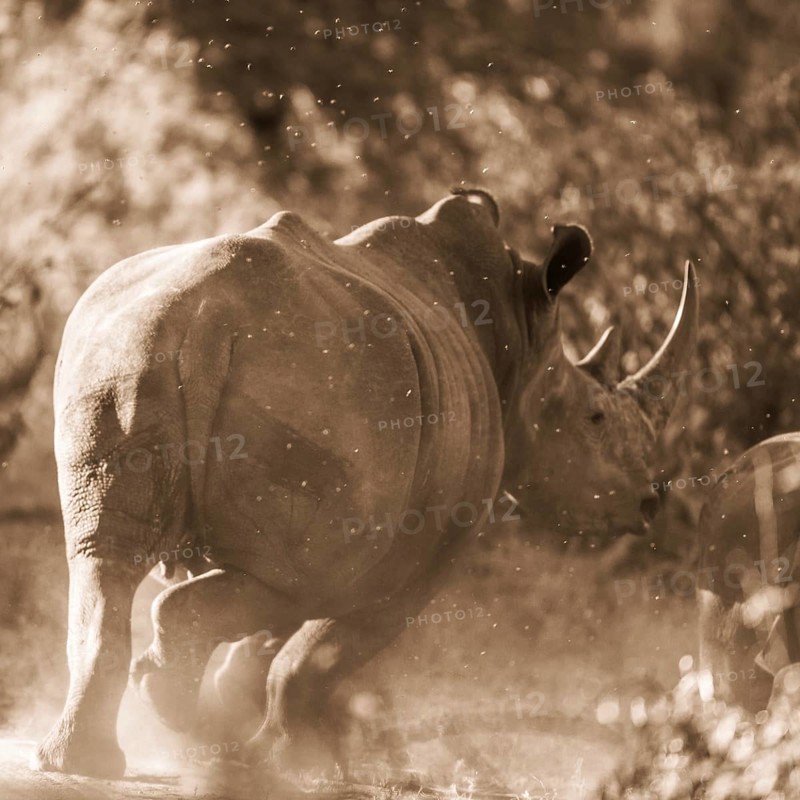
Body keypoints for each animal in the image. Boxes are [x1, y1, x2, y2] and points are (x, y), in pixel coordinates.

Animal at [33, 190, 698, 778]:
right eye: (595, 417)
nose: (648, 502)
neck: (522, 335)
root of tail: (206, 318)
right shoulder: (425, 549)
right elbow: (324, 647)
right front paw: (289, 760)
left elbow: (263, 634)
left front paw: (240, 734)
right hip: (326, 385)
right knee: (293, 591)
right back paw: (171, 726)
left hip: (123, 351)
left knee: (104, 560)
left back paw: (92, 756)